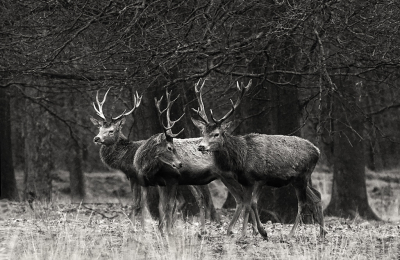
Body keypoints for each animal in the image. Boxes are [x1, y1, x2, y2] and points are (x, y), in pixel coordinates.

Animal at [191, 79, 324, 240]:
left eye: (216, 133)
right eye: (203, 132)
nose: (201, 146)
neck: (242, 159)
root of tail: (318, 151)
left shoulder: (261, 178)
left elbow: (252, 203)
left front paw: (256, 232)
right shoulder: (246, 181)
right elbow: (246, 203)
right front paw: (250, 233)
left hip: (302, 176)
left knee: (302, 202)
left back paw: (291, 233)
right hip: (298, 179)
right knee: (316, 195)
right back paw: (323, 232)